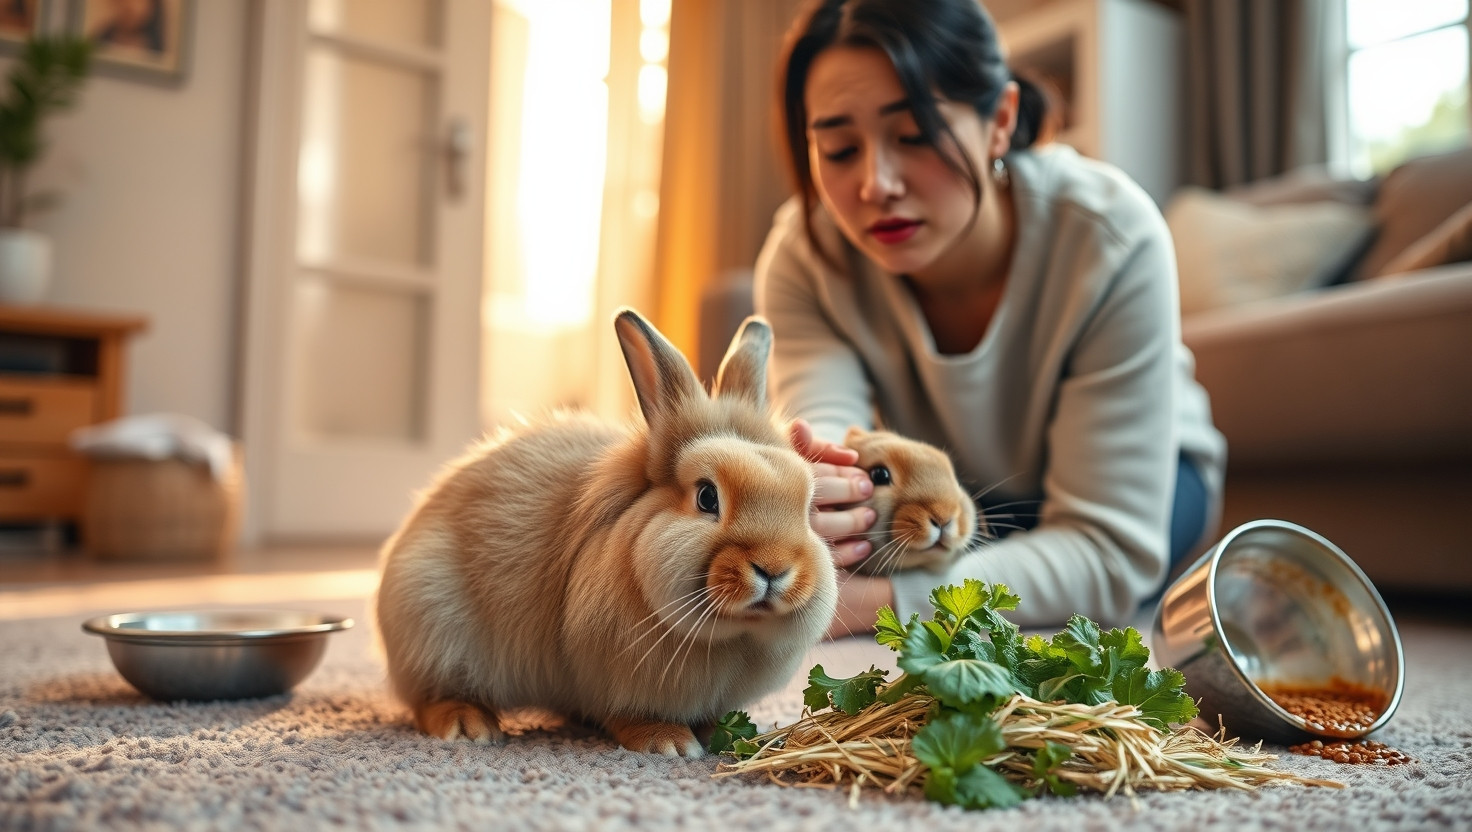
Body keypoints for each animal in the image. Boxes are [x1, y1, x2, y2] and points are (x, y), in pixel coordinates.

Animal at [374, 308, 837, 757]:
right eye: (707, 497)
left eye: (807, 507)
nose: (774, 568)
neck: (732, 637)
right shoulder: (619, 682)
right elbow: (630, 716)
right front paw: (669, 743)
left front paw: (715, 732)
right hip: (431, 626)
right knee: (432, 698)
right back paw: (469, 726)